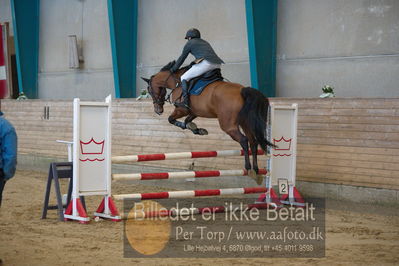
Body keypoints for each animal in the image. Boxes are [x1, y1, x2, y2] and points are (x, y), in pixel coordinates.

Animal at [142, 61, 276, 184]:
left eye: (150, 90)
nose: (158, 110)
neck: (176, 82)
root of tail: (242, 90)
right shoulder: (194, 111)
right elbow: (187, 121)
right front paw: (198, 130)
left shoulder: (181, 109)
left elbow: (171, 119)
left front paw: (192, 127)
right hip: (245, 122)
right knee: (253, 141)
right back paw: (256, 170)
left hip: (228, 125)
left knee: (244, 140)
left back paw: (248, 169)